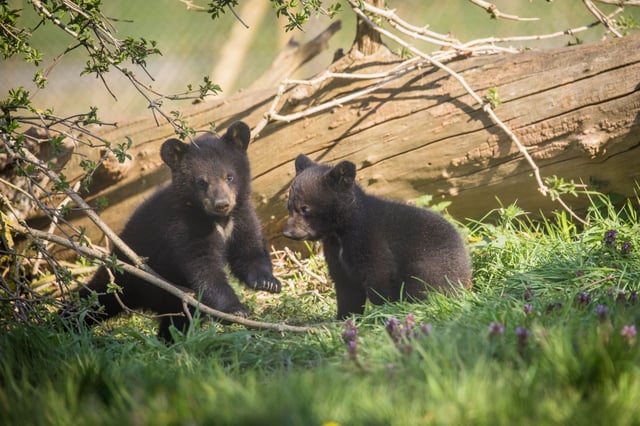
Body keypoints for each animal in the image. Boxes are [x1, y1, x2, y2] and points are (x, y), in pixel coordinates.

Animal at [80, 121, 281, 341]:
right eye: (202, 182)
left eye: (229, 176)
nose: (222, 204)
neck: (218, 219)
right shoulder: (184, 224)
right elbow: (204, 265)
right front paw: (234, 310)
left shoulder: (241, 216)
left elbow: (249, 250)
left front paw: (268, 283)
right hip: (124, 270)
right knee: (97, 296)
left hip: (171, 298)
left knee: (177, 320)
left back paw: (172, 340)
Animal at [283, 154, 471, 319]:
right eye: (289, 206)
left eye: (305, 208)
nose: (288, 232)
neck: (342, 231)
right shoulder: (336, 255)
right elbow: (346, 289)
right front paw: (344, 318)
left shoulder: (372, 242)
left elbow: (379, 278)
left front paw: (382, 312)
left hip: (427, 267)